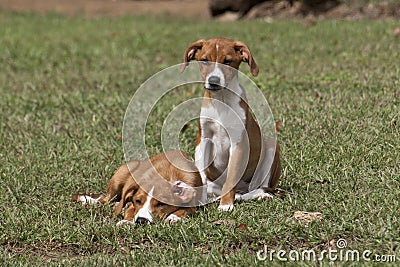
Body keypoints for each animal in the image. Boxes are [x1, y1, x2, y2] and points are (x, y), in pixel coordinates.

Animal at [71, 152, 203, 225]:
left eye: (161, 204)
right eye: (138, 201)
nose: (141, 221)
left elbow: (186, 209)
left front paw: (174, 217)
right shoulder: (132, 204)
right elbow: (130, 211)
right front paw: (126, 221)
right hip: (120, 175)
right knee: (105, 199)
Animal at [180, 37, 280, 213]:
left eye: (228, 61)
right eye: (204, 60)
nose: (213, 81)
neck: (222, 100)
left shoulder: (238, 144)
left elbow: (231, 178)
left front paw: (226, 205)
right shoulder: (203, 139)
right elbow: (201, 175)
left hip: (271, 148)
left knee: (259, 188)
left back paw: (260, 195)